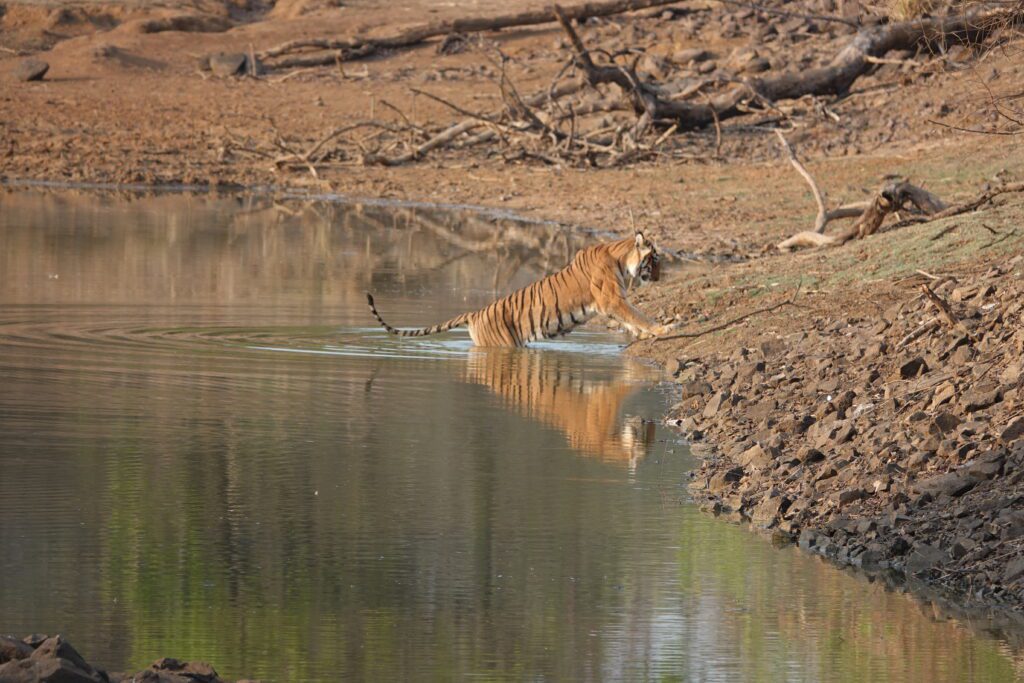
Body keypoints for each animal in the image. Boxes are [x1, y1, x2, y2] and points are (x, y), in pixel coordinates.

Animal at [366, 232, 673, 346]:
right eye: (655, 260)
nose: (659, 278)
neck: (620, 258)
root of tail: (473, 314)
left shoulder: (610, 303)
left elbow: (631, 318)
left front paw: (644, 335)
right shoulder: (611, 299)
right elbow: (638, 314)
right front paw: (662, 329)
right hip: (502, 344)